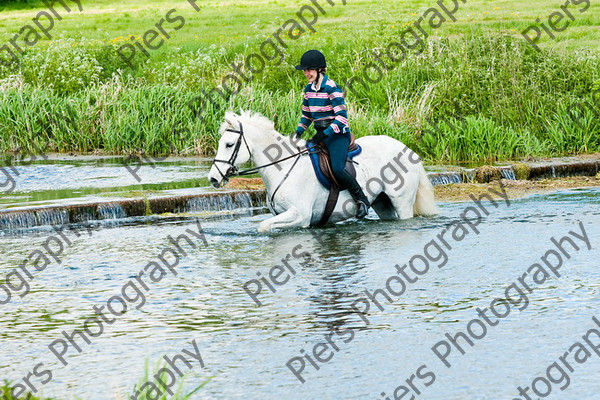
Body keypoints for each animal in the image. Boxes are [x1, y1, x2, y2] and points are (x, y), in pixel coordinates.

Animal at [209, 111, 438, 233]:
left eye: (229, 144)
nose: (213, 178)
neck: (283, 169)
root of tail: (408, 150)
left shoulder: (300, 215)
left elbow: (264, 226)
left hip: (402, 202)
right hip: (382, 203)